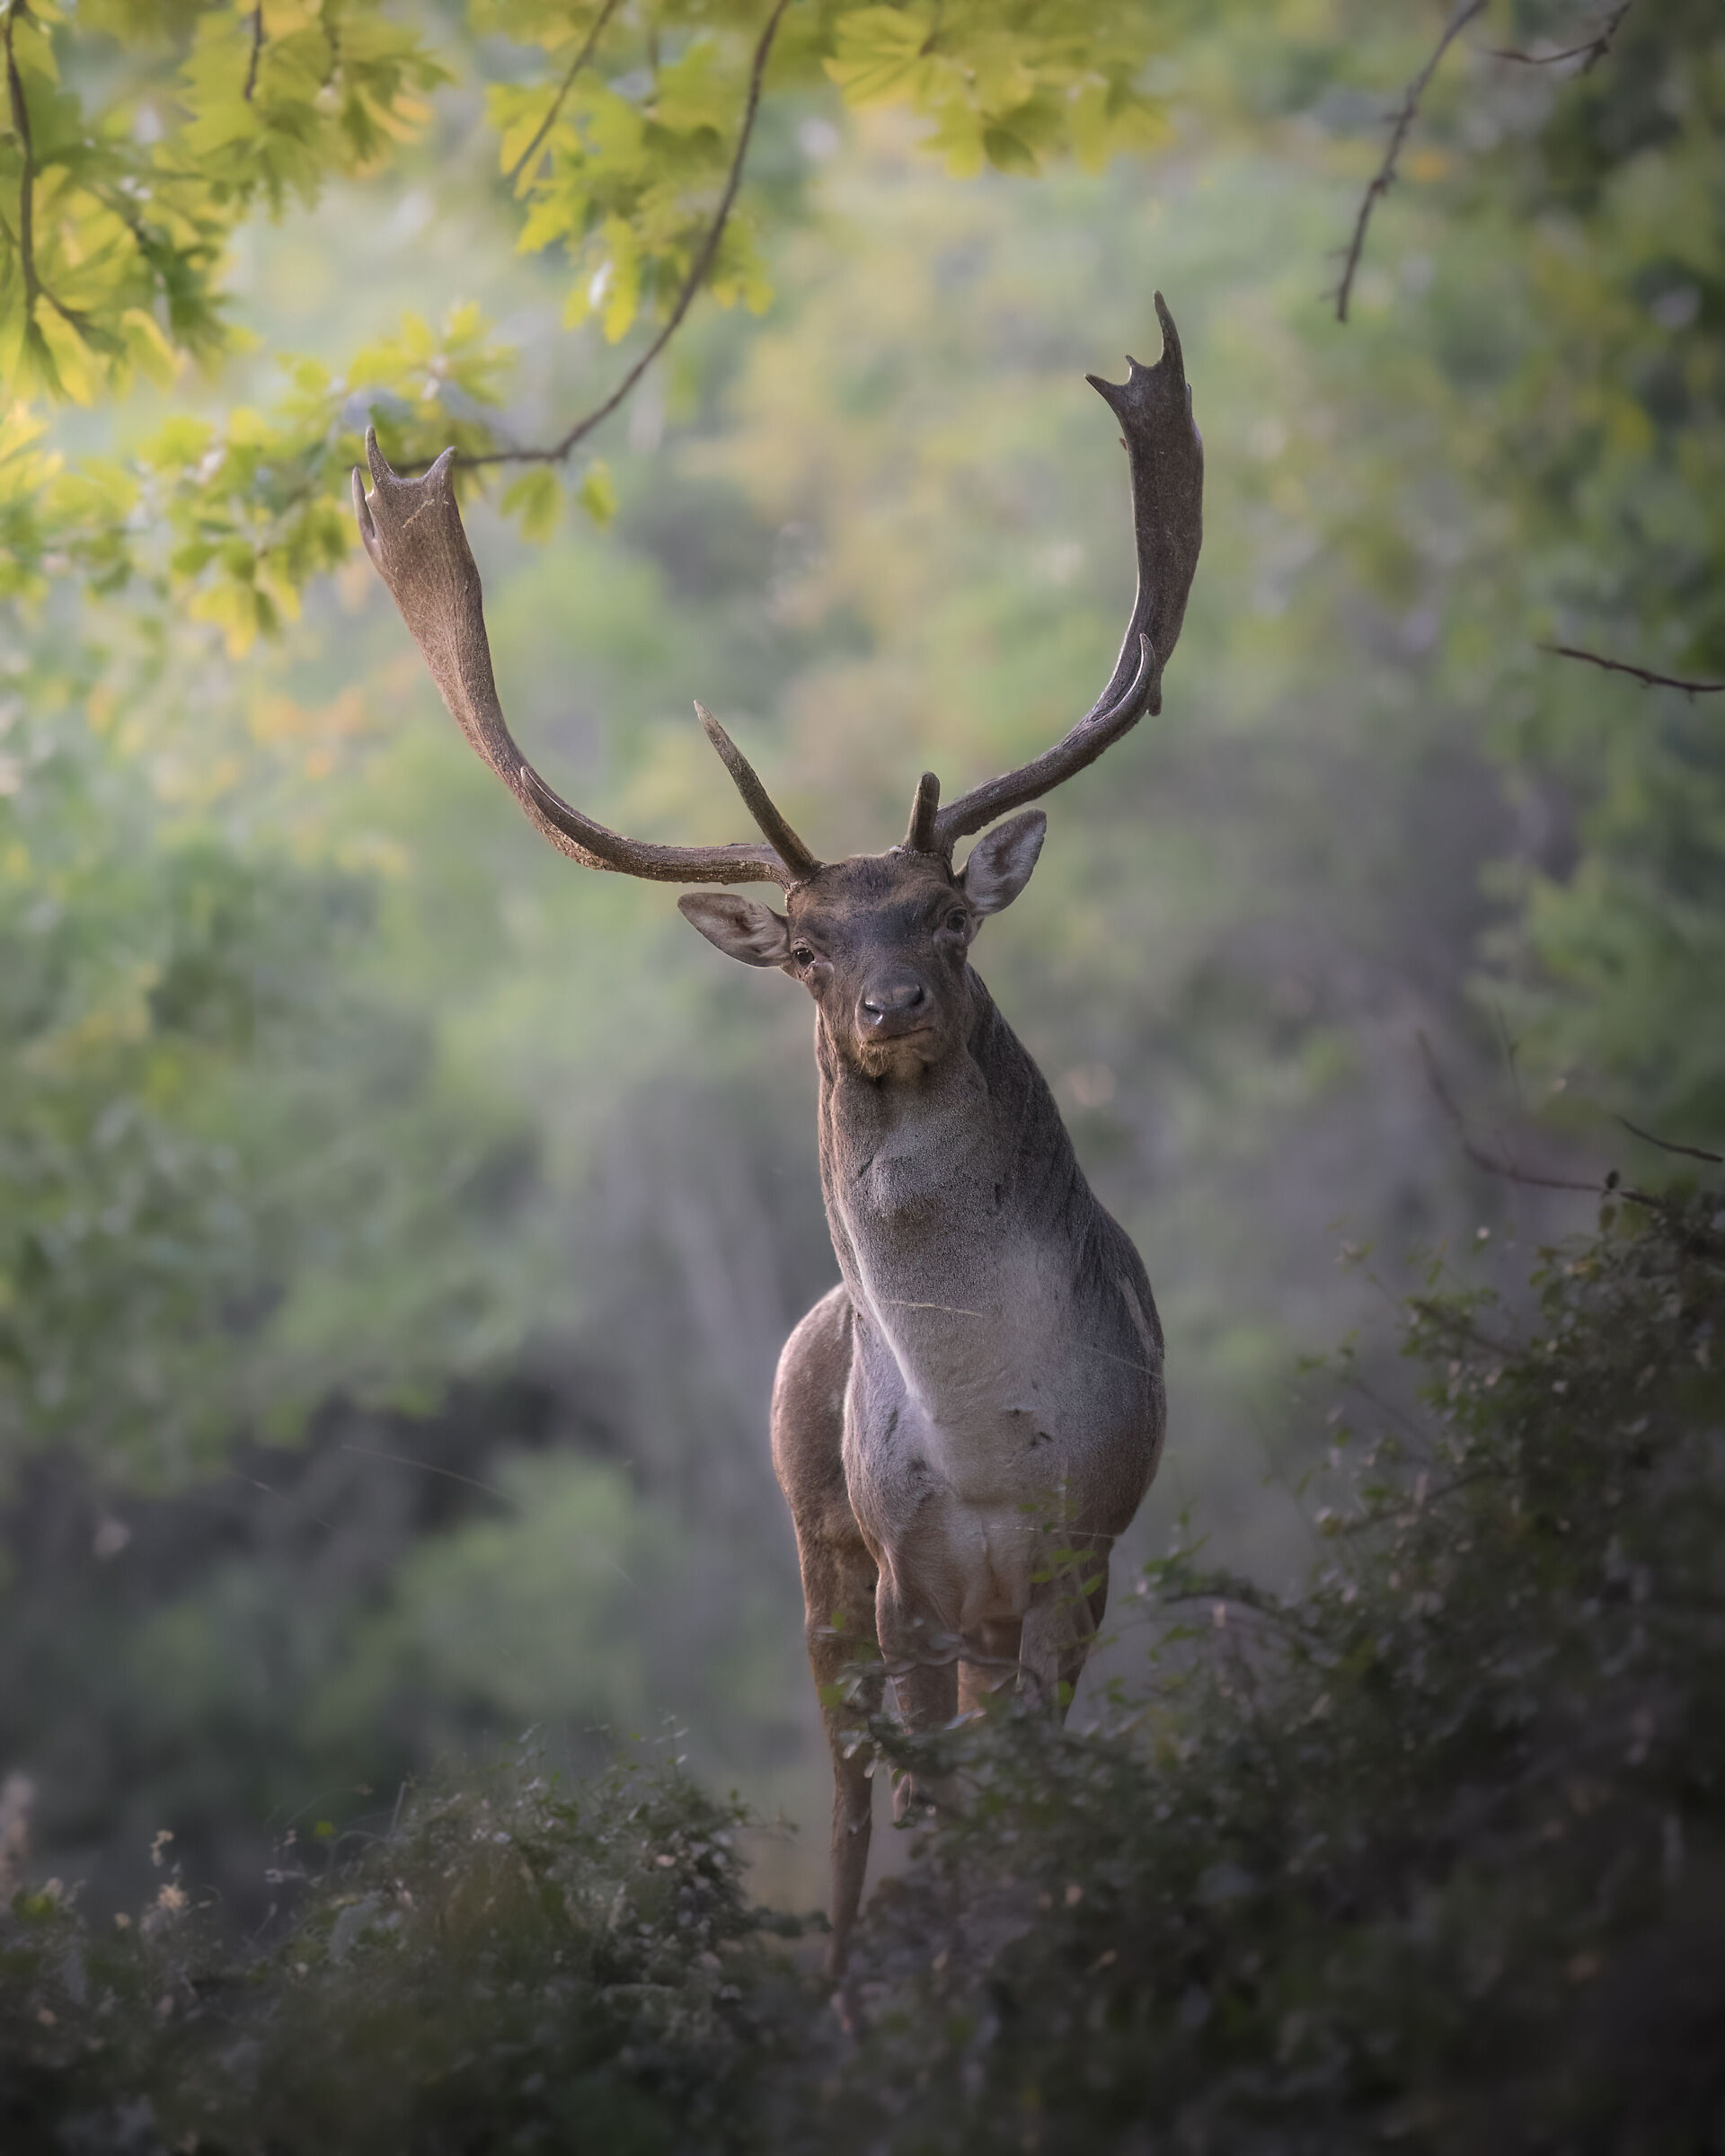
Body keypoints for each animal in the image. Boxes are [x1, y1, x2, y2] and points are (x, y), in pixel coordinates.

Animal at [352, 295, 1202, 1974]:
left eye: (946, 913)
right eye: (807, 945)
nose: (890, 1005)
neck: (988, 1433)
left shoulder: (1080, 1550)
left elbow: (1029, 1782)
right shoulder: (904, 1576)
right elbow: (927, 1805)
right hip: (816, 1562)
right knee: (856, 1801)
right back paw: (846, 1979)